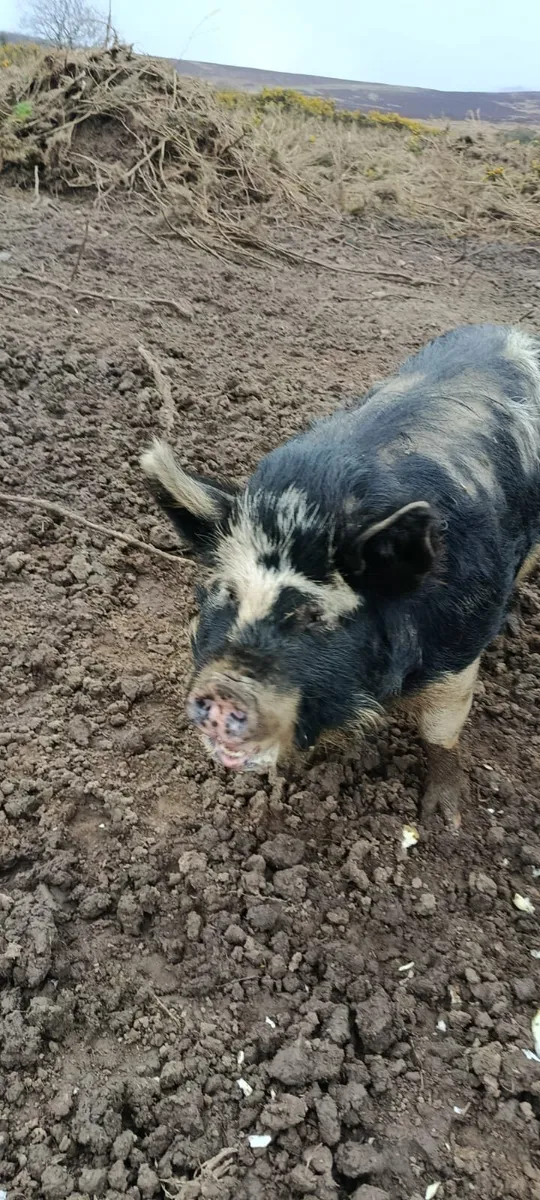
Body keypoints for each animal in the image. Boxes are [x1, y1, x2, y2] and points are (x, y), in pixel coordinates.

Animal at [141, 324, 540, 827]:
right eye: (227, 593)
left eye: (316, 617)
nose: (226, 687)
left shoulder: (458, 649)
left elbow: (441, 732)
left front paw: (443, 820)